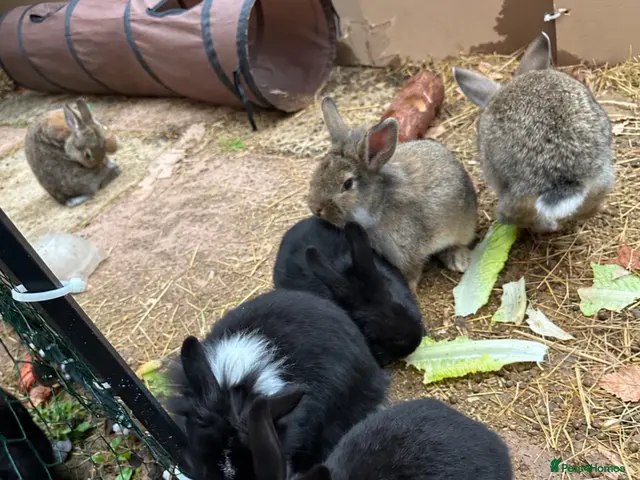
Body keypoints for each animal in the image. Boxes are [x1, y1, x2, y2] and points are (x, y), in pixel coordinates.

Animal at [307, 96, 478, 293]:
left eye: (348, 184)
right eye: (317, 172)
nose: (315, 208)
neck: (376, 206)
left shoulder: (407, 252)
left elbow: (411, 273)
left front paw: (409, 290)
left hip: (463, 227)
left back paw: (459, 260)